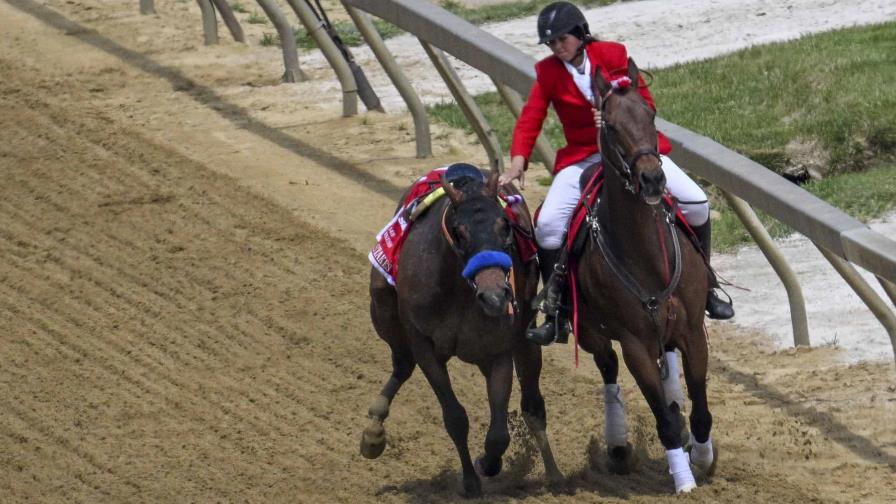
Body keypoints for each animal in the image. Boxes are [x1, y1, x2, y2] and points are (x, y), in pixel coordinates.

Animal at [358, 168, 560, 496]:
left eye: (505, 226)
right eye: (459, 231)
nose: (495, 296)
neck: (458, 291)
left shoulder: (498, 350)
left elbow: (499, 434)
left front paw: (487, 463)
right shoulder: (424, 344)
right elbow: (455, 417)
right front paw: (470, 481)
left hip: (523, 340)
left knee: (533, 404)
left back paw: (554, 473)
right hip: (383, 309)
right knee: (402, 363)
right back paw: (374, 431)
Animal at [576, 58, 720, 492]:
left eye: (650, 115)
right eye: (609, 125)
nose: (653, 179)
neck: (647, 257)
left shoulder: (692, 330)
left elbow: (700, 409)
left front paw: (702, 456)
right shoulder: (634, 343)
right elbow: (664, 421)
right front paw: (684, 480)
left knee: (667, 365)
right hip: (591, 333)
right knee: (608, 368)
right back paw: (619, 446)